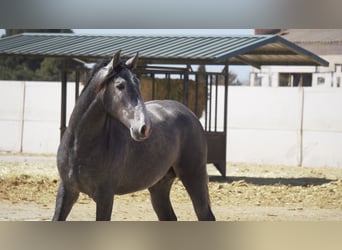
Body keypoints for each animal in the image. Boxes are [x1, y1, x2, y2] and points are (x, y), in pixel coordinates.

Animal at [52, 50, 215, 221]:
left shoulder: (105, 197)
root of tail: (190, 114)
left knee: (205, 214)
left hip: (194, 177)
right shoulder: (67, 190)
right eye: (120, 86)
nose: (144, 128)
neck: (79, 146)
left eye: (138, 83)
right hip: (159, 186)